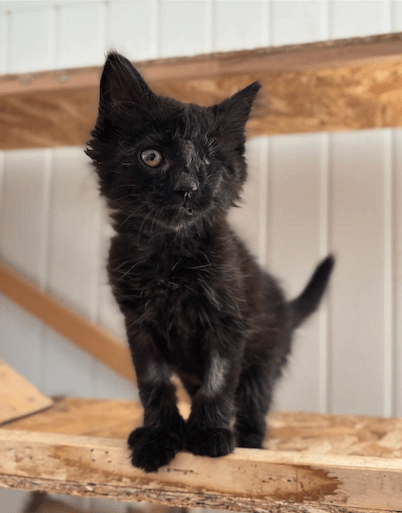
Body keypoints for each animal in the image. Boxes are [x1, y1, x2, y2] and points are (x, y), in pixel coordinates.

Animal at [86, 52, 334, 472]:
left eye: (206, 161)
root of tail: (286, 307)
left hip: (265, 358)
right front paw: (159, 437)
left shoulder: (229, 323)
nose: (186, 188)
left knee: (254, 403)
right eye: (151, 157)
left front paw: (209, 435)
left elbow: (219, 381)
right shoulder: (139, 325)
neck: (169, 255)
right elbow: (153, 383)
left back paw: (248, 440)